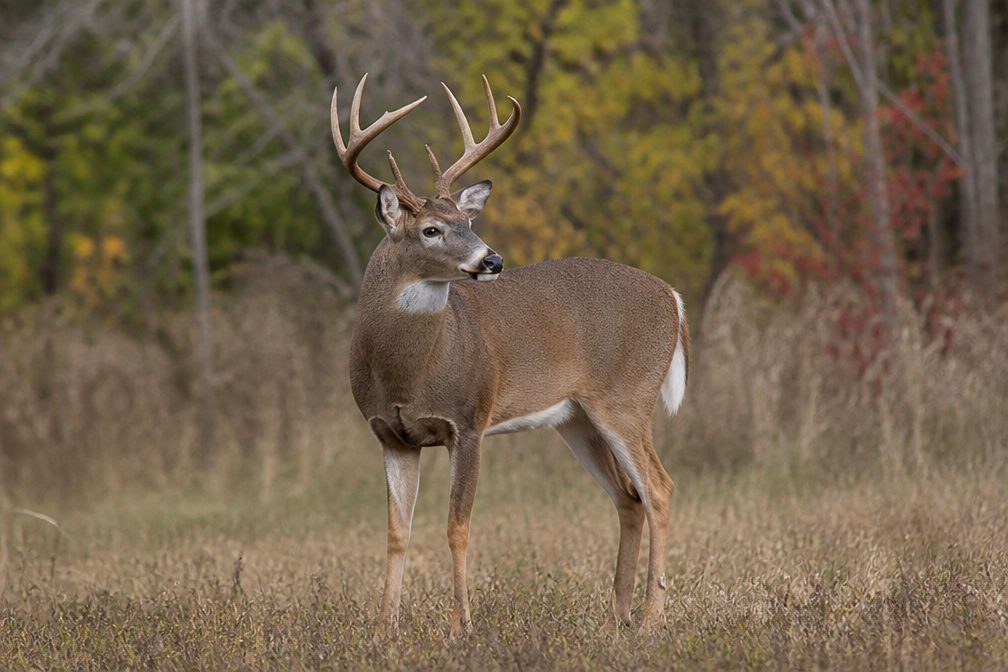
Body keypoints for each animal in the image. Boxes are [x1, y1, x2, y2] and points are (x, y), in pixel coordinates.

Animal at [331, 73, 689, 636]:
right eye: (432, 229)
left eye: (468, 221)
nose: (492, 259)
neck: (408, 372)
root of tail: (673, 297)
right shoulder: (391, 435)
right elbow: (396, 532)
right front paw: (384, 629)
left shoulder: (468, 419)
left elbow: (457, 526)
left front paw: (461, 625)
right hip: (577, 418)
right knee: (628, 498)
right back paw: (617, 616)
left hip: (626, 398)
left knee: (659, 489)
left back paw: (652, 618)